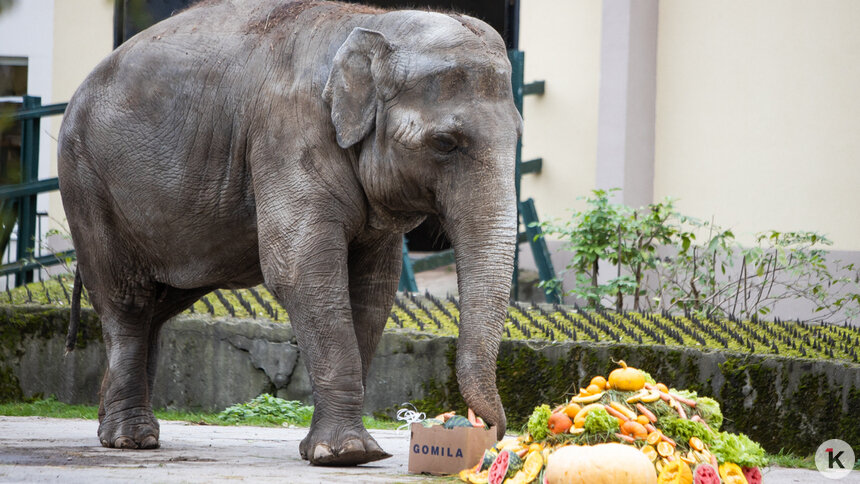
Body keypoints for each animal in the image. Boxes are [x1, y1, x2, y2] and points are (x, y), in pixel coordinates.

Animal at [60, 0, 520, 466]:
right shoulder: (286, 136)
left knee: (159, 304)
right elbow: (302, 272)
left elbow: (373, 288)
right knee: (128, 301)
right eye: (445, 142)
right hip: (87, 183)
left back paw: (113, 425)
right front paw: (346, 454)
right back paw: (130, 439)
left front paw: (338, 451)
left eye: (519, 136)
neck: (373, 22)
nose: (491, 435)